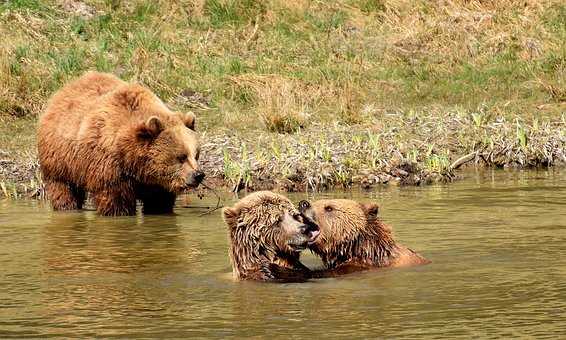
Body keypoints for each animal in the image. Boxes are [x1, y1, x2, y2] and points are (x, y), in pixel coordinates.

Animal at [37, 71, 204, 215]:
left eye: (196, 155)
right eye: (181, 157)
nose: (198, 175)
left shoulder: (157, 182)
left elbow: (159, 202)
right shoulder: (111, 168)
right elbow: (116, 201)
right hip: (61, 160)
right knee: (63, 188)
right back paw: (67, 207)